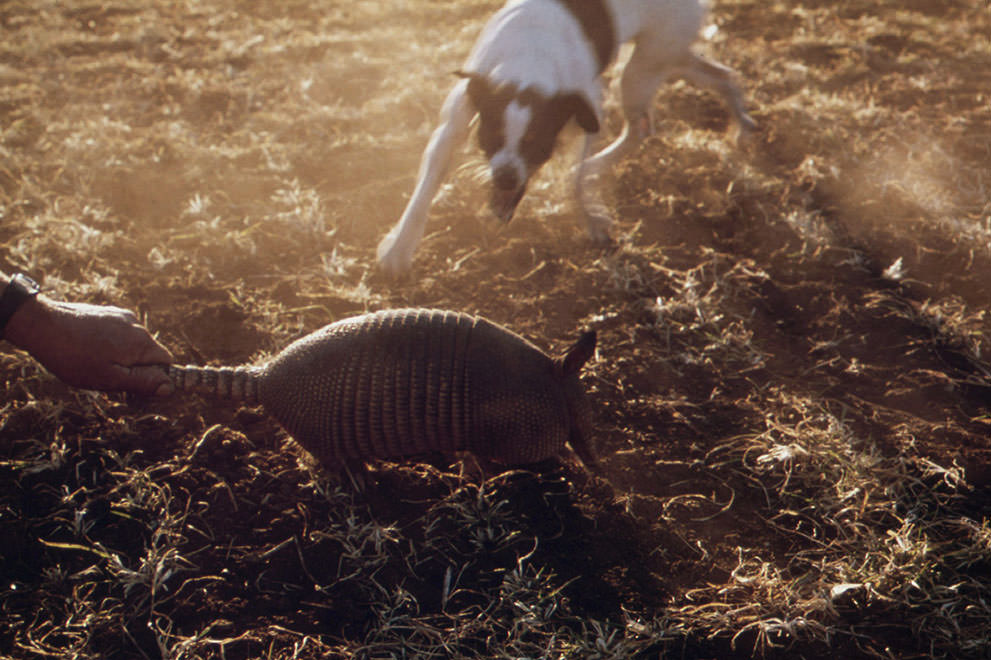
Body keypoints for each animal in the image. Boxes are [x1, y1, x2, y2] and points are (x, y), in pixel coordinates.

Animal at [376, 0, 756, 274]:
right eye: (492, 136)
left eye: (535, 143)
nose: (506, 177)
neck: (527, 67)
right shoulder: (452, 124)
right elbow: (425, 189)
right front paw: (399, 248)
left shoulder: (589, 110)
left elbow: (573, 182)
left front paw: (589, 216)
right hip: (666, 58)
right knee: (720, 75)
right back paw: (741, 121)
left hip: (642, 68)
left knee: (639, 129)